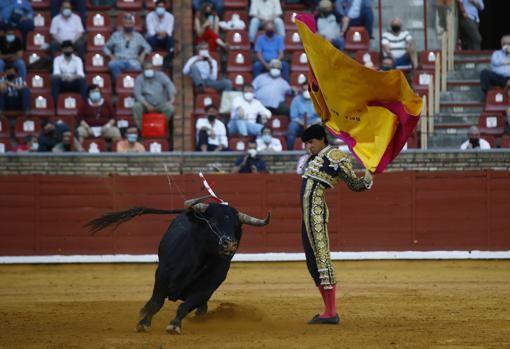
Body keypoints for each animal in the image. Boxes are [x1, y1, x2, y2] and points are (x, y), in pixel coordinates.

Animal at [87, 194, 270, 334]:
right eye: (212, 222)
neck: (198, 261)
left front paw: (174, 325)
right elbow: (157, 302)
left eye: (236, 226)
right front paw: (143, 323)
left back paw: (200, 314)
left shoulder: (206, 289)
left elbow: (185, 306)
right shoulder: (161, 275)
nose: (229, 244)